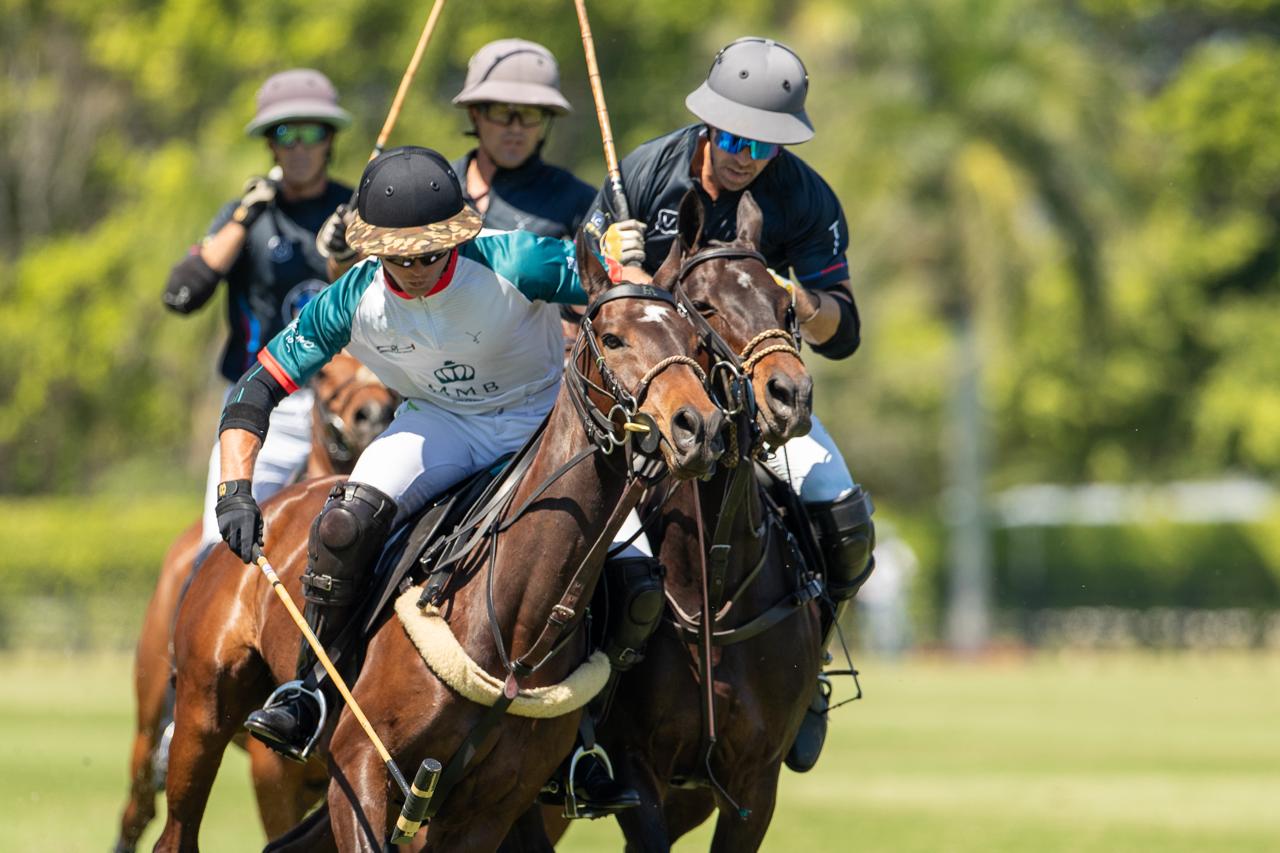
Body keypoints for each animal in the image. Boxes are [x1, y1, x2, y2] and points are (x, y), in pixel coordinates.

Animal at [151, 236, 727, 852]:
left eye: (695, 339)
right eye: (614, 338)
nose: (699, 427)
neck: (513, 627)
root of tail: (279, 500)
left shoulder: (488, 808)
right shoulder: (360, 764)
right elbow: (266, 379)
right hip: (204, 707)